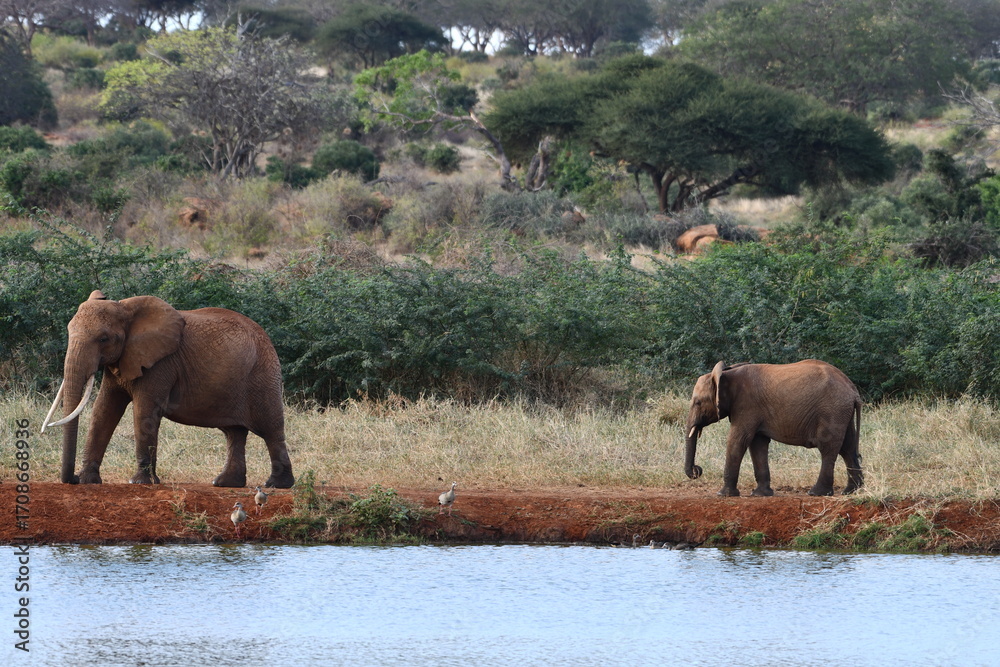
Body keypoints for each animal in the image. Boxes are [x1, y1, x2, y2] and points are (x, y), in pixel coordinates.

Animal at [41, 290, 295, 488]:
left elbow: (143, 411)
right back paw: (225, 483)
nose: (72, 479)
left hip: (262, 375)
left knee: (270, 429)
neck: (126, 307)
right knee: (234, 432)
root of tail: (266, 337)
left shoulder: (160, 363)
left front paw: (140, 482)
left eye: (104, 339)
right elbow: (104, 411)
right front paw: (88, 480)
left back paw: (276, 485)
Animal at [683, 360, 862, 497]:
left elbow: (738, 440)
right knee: (848, 448)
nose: (697, 470)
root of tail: (853, 390)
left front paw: (724, 495)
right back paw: (851, 491)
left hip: (832, 411)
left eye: (698, 403)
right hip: (842, 412)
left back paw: (817, 493)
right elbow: (757, 444)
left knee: (828, 448)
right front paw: (761, 495)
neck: (727, 373)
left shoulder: (746, 406)